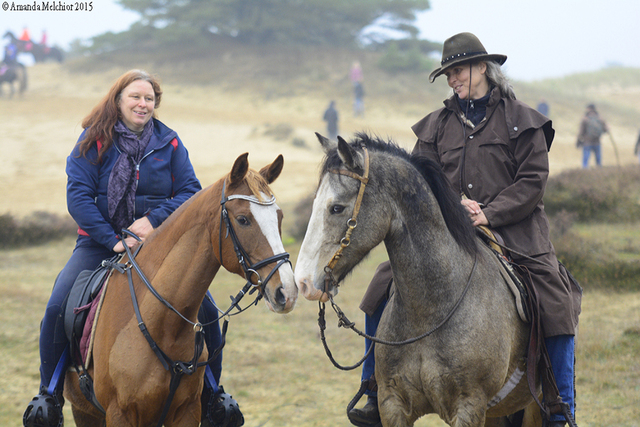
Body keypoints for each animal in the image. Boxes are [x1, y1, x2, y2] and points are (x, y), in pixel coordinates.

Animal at [65, 154, 298, 427]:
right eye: (243, 219)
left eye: (279, 217)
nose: (288, 292)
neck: (162, 324)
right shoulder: (118, 413)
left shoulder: (187, 410)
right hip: (84, 412)